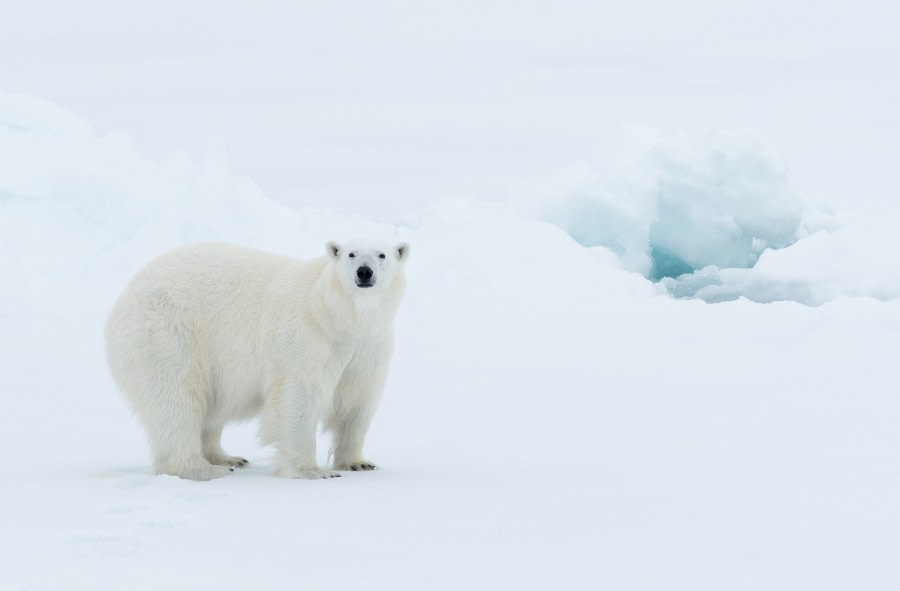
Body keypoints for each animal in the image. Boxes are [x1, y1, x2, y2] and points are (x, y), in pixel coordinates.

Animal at [104, 240, 408, 480]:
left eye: (382, 254)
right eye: (351, 254)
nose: (364, 272)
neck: (335, 317)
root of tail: (125, 296)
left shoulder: (369, 347)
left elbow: (358, 401)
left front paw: (358, 463)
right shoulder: (305, 338)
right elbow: (298, 396)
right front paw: (313, 471)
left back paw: (226, 457)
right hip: (170, 334)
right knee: (176, 399)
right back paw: (202, 468)